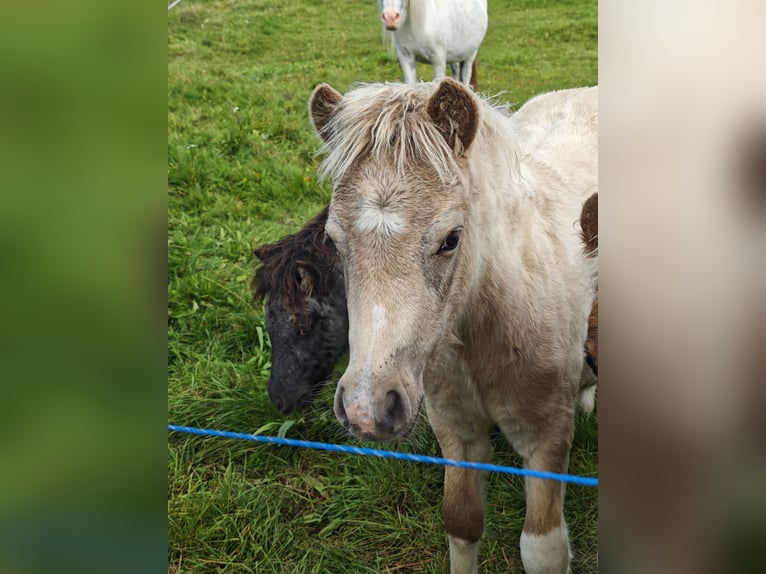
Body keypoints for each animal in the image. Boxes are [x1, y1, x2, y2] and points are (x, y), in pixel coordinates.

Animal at [309, 79, 597, 573]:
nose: (367, 409)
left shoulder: (546, 437)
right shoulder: (456, 430)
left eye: (451, 239)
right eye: (332, 241)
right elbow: (462, 523)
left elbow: (542, 548)